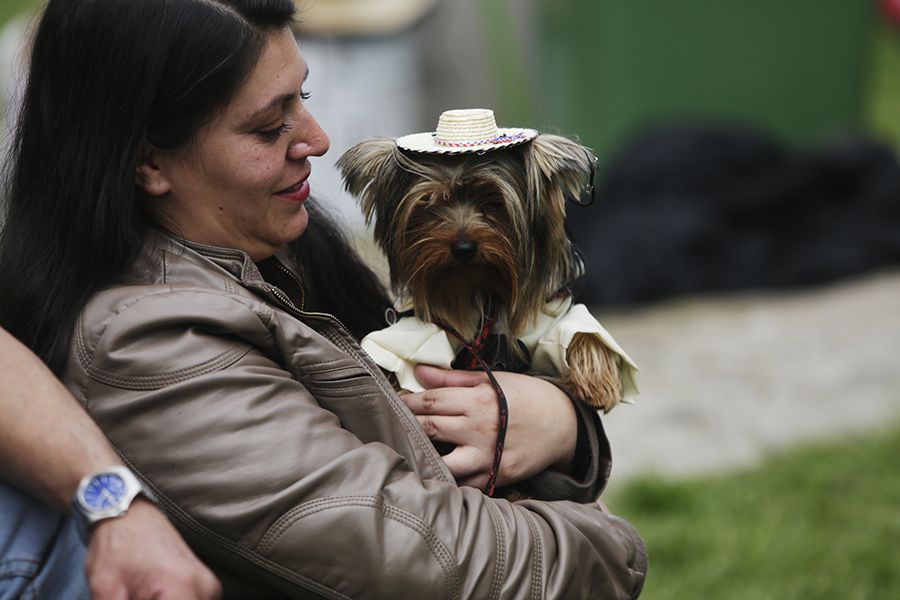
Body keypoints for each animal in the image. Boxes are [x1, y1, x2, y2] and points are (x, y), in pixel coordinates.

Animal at [338, 109, 640, 412]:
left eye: (495, 203)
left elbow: (579, 332)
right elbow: (390, 356)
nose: (463, 248)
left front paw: (597, 382)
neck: (480, 289)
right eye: (429, 205)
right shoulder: (421, 332)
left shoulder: (545, 322)